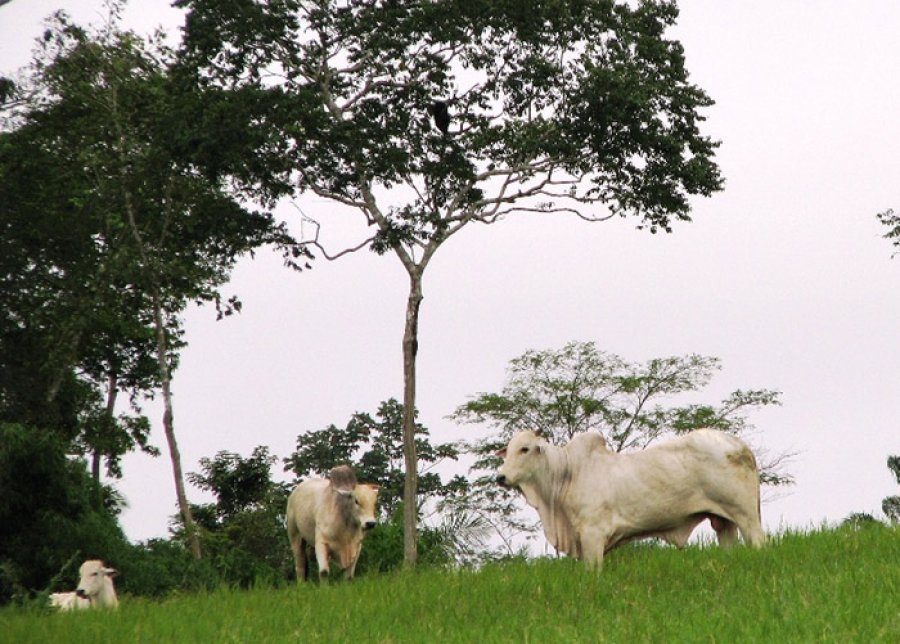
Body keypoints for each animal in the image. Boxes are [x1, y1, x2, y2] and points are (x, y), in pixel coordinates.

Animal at [496, 430, 764, 572]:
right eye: (507, 451)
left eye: (525, 449)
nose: (501, 477)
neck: (567, 474)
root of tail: (739, 445)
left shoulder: (593, 535)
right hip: (723, 521)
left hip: (746, 514)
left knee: (759, 542)